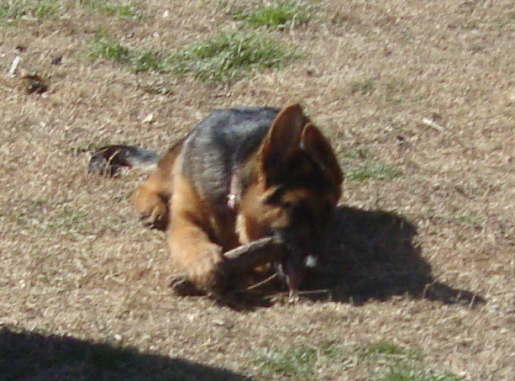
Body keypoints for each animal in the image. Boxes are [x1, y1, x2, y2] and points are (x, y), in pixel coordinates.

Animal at [91, 104, 344, 294]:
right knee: (148, 185)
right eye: (295, 207)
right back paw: (152, 205)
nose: (317, 268)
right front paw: (204, 262)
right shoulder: (184, 216)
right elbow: (190, 238)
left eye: (330, 213)